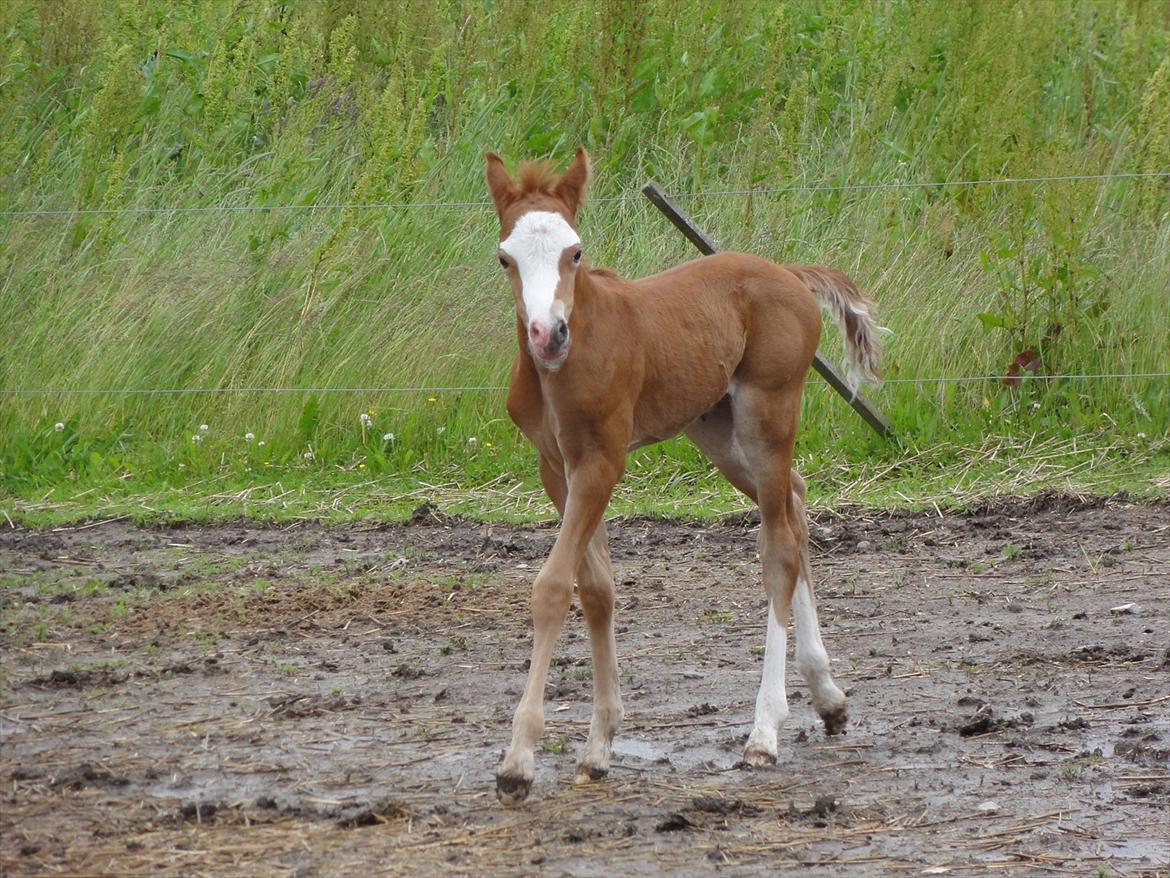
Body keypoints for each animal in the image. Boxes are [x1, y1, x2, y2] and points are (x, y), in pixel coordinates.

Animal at [485, 148, 883, 804]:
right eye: (506, 258)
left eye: (576, 252)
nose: (548, 334)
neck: (564, 365)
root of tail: (790, 274)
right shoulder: (556, 466)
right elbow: (596, 589)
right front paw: (597, 749)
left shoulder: (602, 459)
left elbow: (553, 587)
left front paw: (518, 762)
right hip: (716, 430)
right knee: (796, 504)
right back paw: (827, 696)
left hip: (768, 413)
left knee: (778, 546)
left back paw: (764, 732)